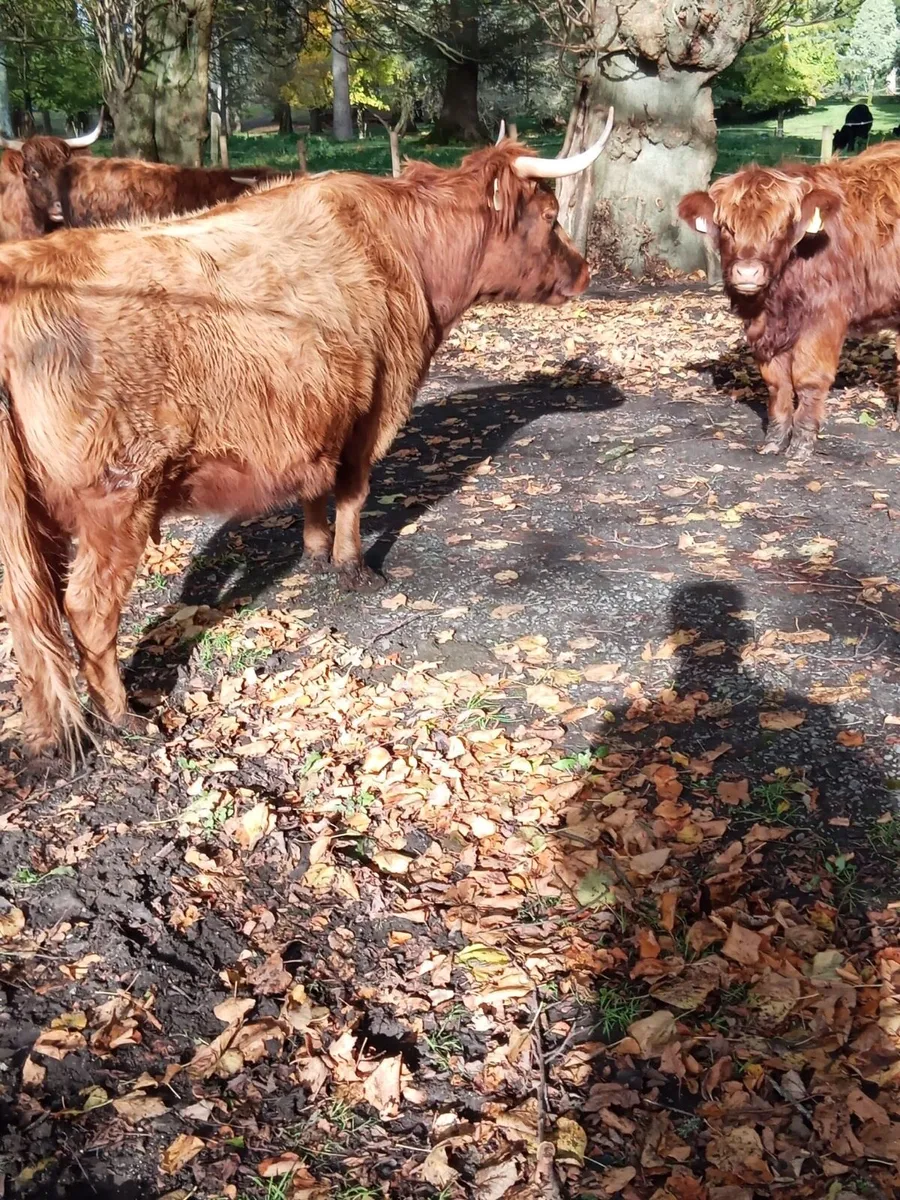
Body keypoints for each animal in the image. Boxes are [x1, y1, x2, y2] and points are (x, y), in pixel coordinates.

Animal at [678, 140, 900, 461]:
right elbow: (777, 383)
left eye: (780, 228)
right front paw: (775, 439)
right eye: (727, 228)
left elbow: (808, 378)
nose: (747, 271)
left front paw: (801, 444)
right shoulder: (763, 327)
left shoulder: (824, 316)